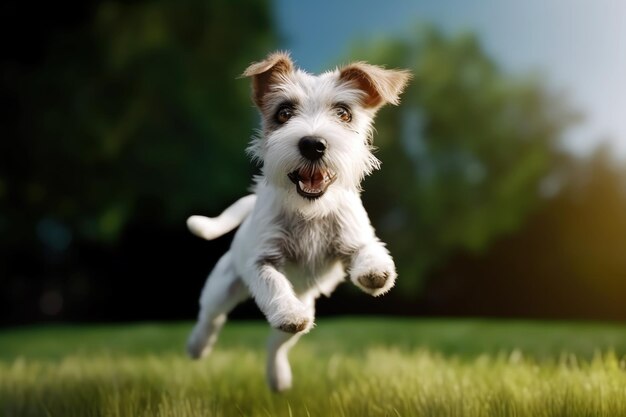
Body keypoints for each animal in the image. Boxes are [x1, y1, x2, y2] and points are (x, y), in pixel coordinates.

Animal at [185, 51, 410, 390]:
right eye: (284, 112)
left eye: (343, 113)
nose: (313, 144)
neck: (309, 212)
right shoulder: (261, 262)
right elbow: (274, 283)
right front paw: (287, 311)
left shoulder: (355, 237)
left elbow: (369, 249)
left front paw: (375, 272)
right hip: (221, 288)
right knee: (211, 318)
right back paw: (197, 347)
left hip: (305, 311)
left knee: (275, 345)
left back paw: (278, 377)